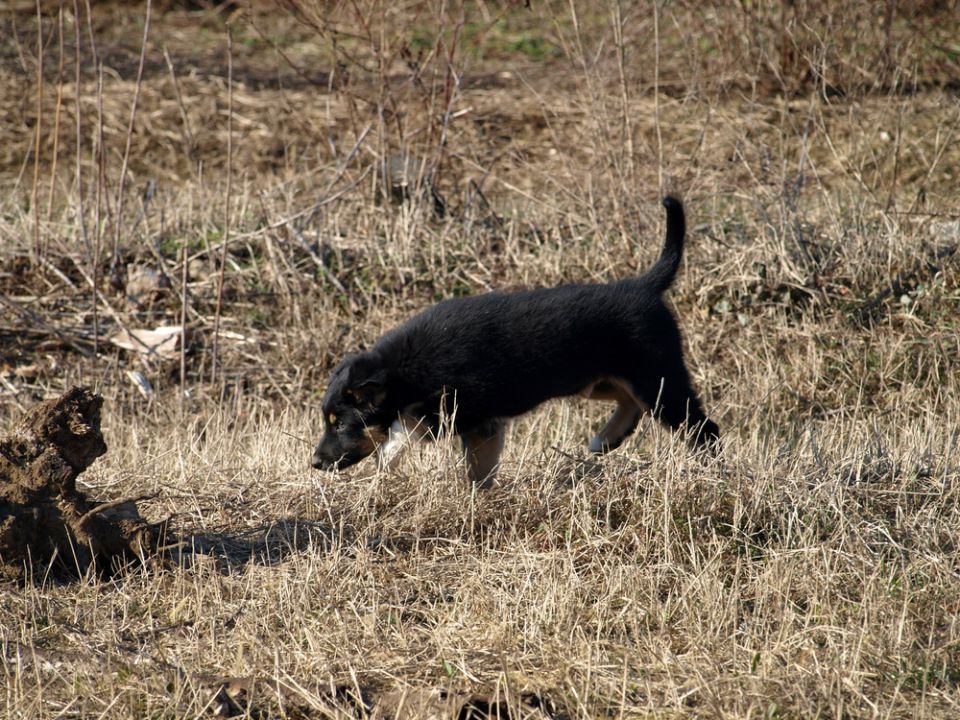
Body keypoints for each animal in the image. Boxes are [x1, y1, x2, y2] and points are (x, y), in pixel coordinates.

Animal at [316, 197, 720, 486]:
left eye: (340, 424)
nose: (315, 462)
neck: (402, 370)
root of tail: (645, 286)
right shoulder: (482, 425)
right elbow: (479, 468)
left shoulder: (460, 409)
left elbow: (406, 428)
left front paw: (389, 456)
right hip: (600, 380)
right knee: (630, 403)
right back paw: (606, 440)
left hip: (658, 379)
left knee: (704, 429)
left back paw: (713, 475)